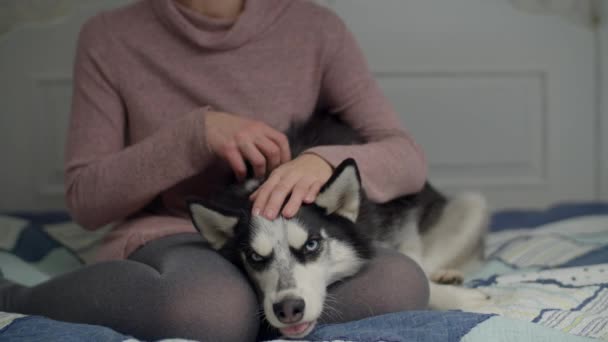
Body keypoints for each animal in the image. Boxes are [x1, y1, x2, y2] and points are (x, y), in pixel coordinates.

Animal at [188, 113, 492, 340]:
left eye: (311, 245)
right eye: (254, 257)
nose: (288, 309)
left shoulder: (400, 226)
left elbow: (415, 267)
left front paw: (463, 298)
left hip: (472, 205)